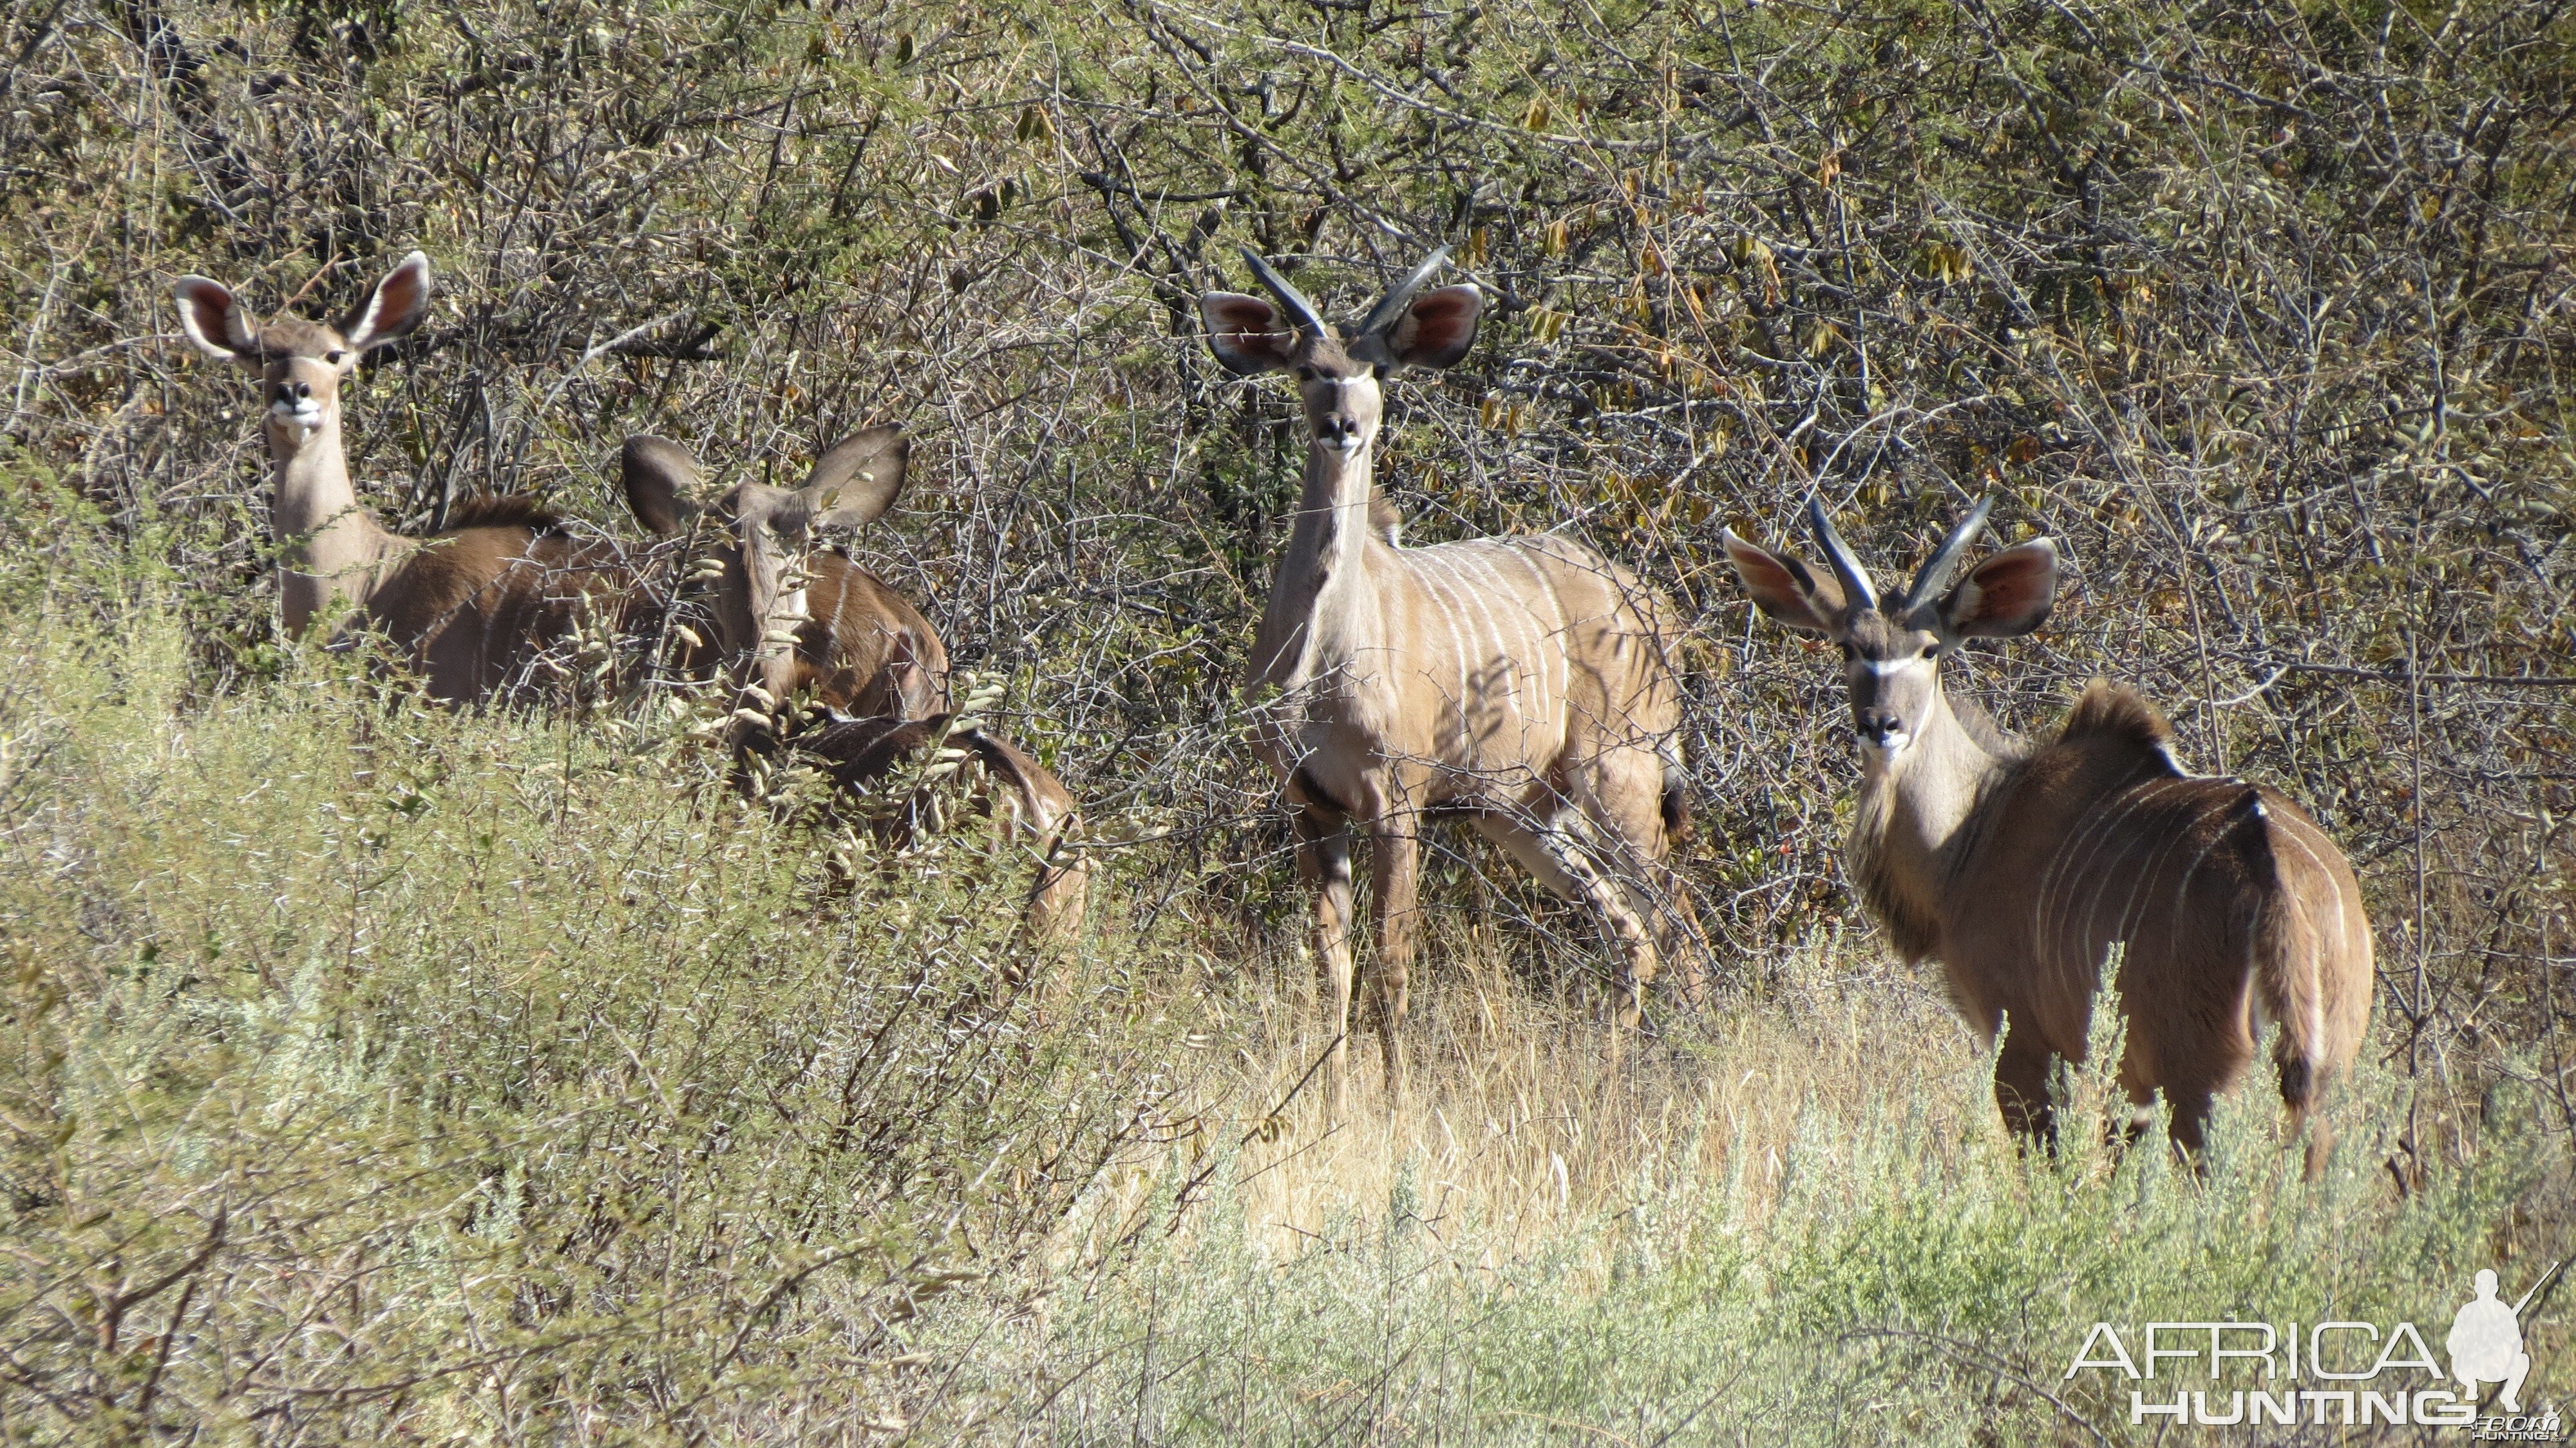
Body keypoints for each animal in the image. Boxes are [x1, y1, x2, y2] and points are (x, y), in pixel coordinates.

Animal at [1206, 245, 1710, 1092]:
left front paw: (1393, 1097)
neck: (1318, 665)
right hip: (1521, 812)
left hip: (1620, 772)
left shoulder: (1396, 801)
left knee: (1680, 928)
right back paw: (1609, 1077)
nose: (1341, 426)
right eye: (1307, 368)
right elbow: (1332, 963)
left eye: (1377, 368)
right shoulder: (1310, 803)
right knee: (1630, 931)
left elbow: (1393, 959)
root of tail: (1662, 618)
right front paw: (1331, 1099)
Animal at [1721, 495, 2360, 1175]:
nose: (1881, 725)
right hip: (2322, 1081)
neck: (1977, 827)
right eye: (1847, 647)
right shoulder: (2123, 1084)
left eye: (1929, 650)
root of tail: (2273, 879)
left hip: (2202, 1084)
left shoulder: (2024, 1043)